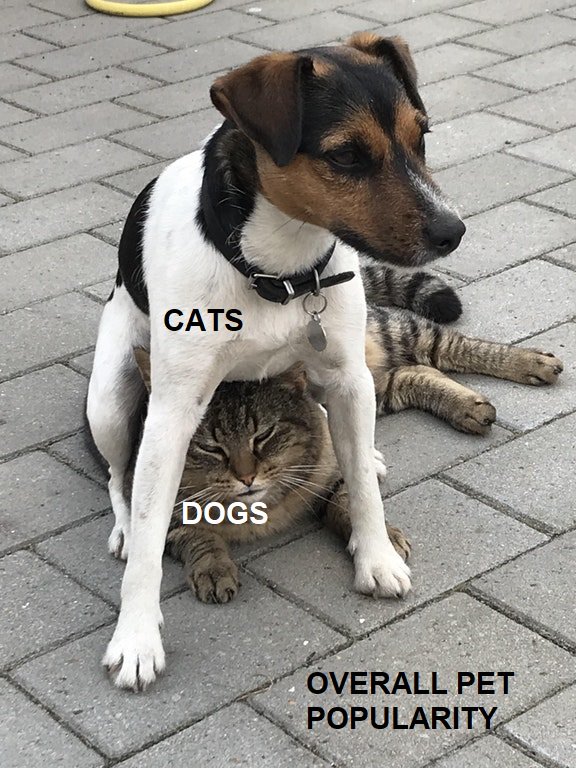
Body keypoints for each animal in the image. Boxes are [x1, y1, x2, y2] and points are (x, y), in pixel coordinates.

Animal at [87, 32, 465, 691]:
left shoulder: (345, 377)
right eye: (347, 156)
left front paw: (375, 556)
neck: (281, 273)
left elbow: (360, 489)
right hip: (111, 398)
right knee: (117, 475)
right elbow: (153, 527)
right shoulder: (172, 413)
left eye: (421, 137)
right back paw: (124, 527)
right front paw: (135, 637)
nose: (454, 231)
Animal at [132, 259, 562, 604]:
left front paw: (379, 543)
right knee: (413, 373)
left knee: (449, 345)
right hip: (367, 387)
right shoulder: (159, 507)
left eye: (264, 436)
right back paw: (468, 406)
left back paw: (532, 362)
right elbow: (198, 537)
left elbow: (349, 501)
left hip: (387, 339)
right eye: (210, 447)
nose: (246, 477)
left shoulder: (329, 474)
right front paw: (213, 568)